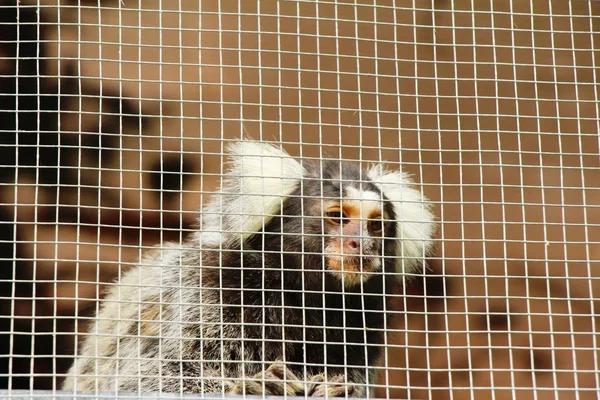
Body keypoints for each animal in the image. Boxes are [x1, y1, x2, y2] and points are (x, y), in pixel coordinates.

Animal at [62, 141, 436, 396]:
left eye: (375, 226)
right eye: (337, 216)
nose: (362, 244)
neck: (297, 293)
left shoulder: (363, 321)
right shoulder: (213, 289)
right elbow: (149, 379)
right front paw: (253, 386)